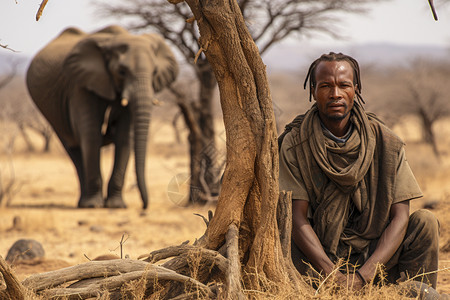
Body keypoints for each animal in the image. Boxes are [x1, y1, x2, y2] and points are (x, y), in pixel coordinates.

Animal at [25, 25, 178, 209]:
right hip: (53, 114)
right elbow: (91, 134)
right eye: (121, 71)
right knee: (73, 147)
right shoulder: (81, 83)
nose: (144, 207)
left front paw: (116, 206)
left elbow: (124, 136)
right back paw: (85, 204)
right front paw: (94, 205)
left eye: (155, 71)